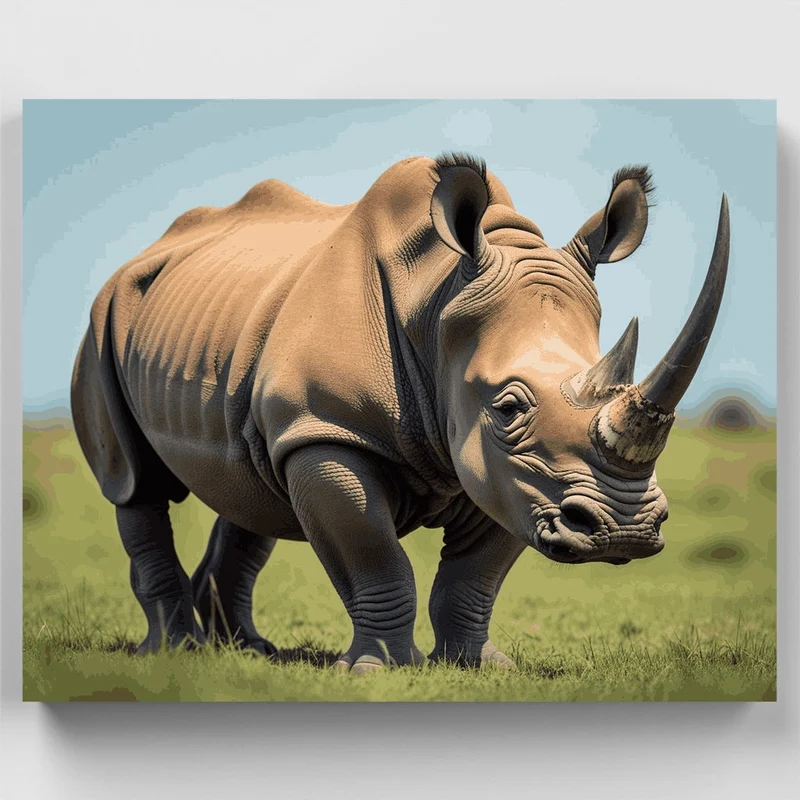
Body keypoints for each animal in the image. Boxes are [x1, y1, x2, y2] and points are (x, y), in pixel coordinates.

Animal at [71, 154, 729, 672]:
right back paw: (175, 650)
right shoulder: (329, 431)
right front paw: (381, 669)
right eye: (509, 406)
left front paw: (479, 666)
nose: (624, 531)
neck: (437, 300)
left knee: (251, 487)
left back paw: (249, 651)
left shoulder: (514, 475)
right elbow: (374, 555)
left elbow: (473, 577)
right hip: (104, 318)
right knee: (135, 484)